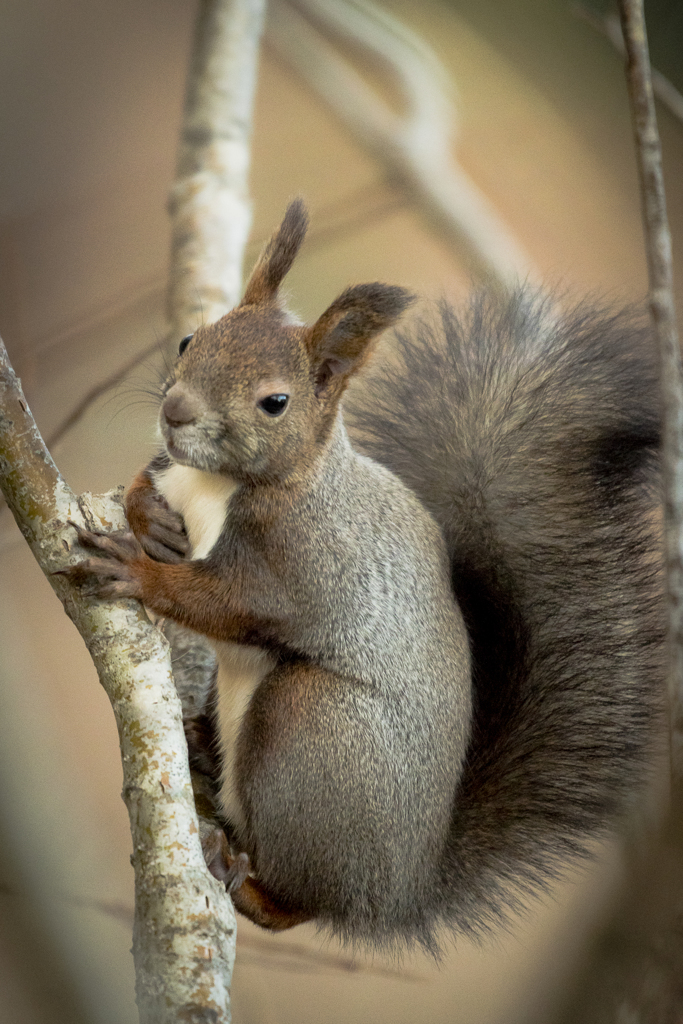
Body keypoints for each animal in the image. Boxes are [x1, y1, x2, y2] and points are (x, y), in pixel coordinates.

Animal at [63, 199, 663, 950]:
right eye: (189, 340)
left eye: (275, 402)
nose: (175, 413)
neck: (219, 484)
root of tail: (399, 891)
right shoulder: (173, 469)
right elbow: (143, 482)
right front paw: (151, 523)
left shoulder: (306, 568)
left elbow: (234, 604)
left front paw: (138, 571)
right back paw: (201, 745)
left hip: (309, 729)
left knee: (298, 903)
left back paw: (237, 870)